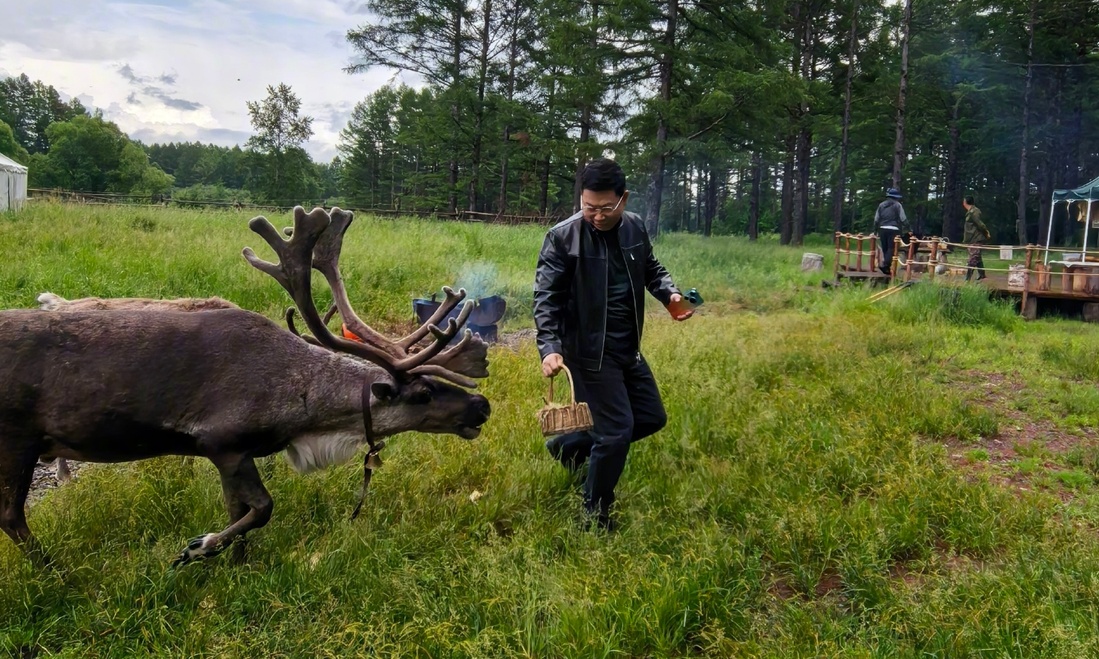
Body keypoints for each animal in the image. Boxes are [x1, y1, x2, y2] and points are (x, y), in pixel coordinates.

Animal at [0, 206, 491, 566]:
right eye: (423, 394)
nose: (482, 405)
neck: (306, 410)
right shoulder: (224, 442)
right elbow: (262, 508)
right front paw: (197, 548)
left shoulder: (230, 454)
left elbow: (238, 511)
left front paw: (234, 562)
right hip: (17, 440)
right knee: (11, 516)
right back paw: (53, 568)